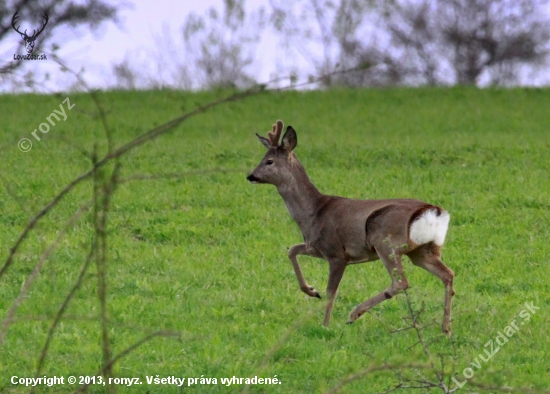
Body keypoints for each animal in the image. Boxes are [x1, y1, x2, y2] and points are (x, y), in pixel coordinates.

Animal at [248, 119, 454, 332]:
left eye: (269, 161)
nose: (251, 176)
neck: (313, 212)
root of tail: (433, 211)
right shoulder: (316, 247)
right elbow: (292, 250)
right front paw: (312, 291)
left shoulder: (337, 253)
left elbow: (331, 292)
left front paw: (325, 324)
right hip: (423, 250)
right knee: (447, 274)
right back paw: (446, 328)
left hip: (385, 241)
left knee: (401, 282)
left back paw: (354, 314)